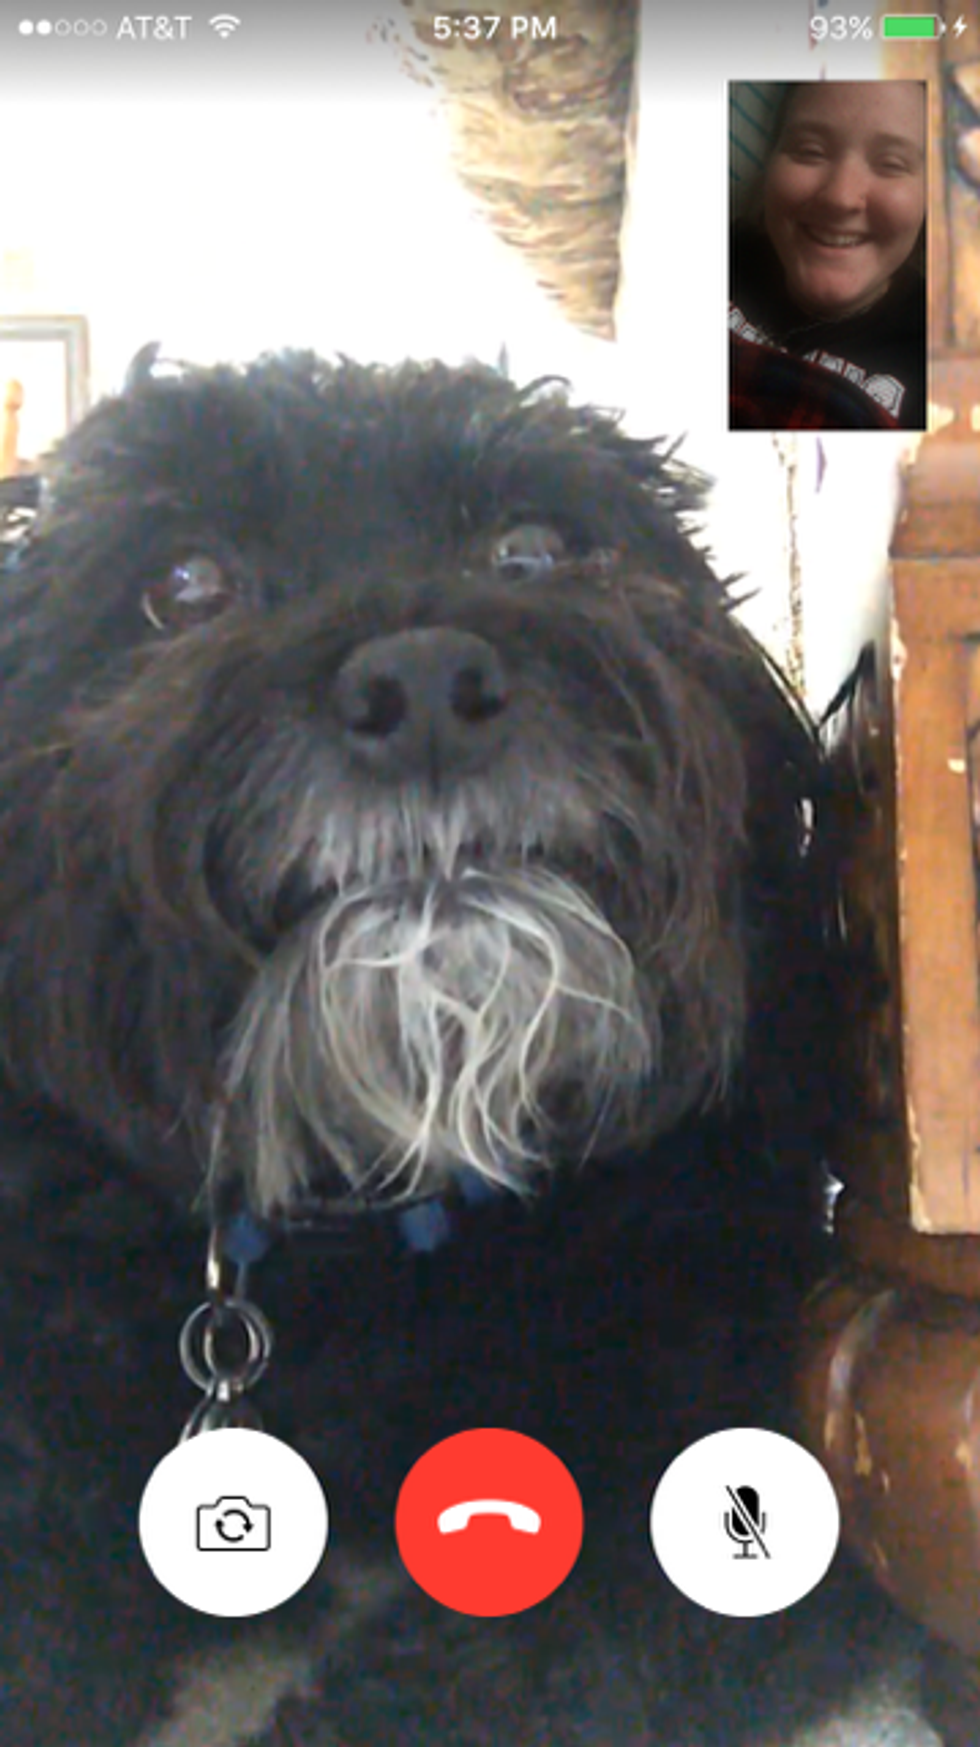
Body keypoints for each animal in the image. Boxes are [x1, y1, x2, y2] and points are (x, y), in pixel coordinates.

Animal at [0, 352, 925, 1747]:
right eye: (184, 585)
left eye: (533, 546)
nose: (425, 679)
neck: (379, 1225)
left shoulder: (725, 1420)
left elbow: (484, 1675)